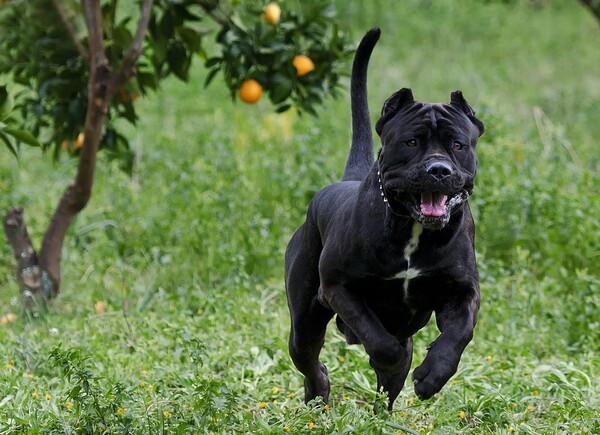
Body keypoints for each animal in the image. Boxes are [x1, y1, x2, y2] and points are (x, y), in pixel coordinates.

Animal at [284, 28, 486, 412]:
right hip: (304, 321)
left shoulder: (462, 291)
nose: (439, 170)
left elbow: (459, 334)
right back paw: (320, 393)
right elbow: (376, 336)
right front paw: (389, 357)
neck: (414, 231)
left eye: (457, 145)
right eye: (411, 142)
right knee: (309, 358)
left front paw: (432, 376)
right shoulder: (339, 287)